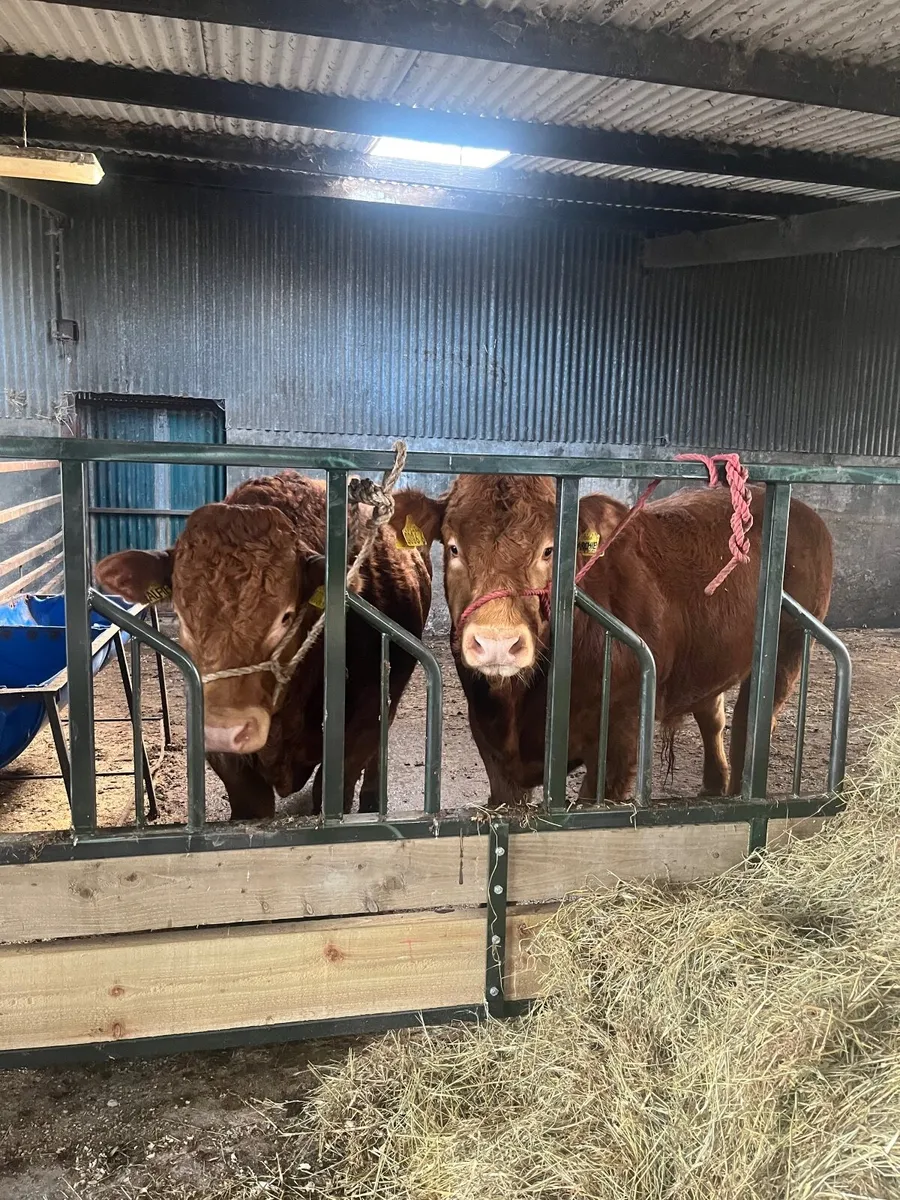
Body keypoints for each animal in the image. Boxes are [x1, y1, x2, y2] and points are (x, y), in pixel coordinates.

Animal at [394, 476, 833, 806]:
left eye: (549, 550)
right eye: (453, 546)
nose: (498, 642)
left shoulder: (620, 740)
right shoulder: (492, 745)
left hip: (790, 647)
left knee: (752, 719)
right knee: (713, 715)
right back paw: (714, 786)